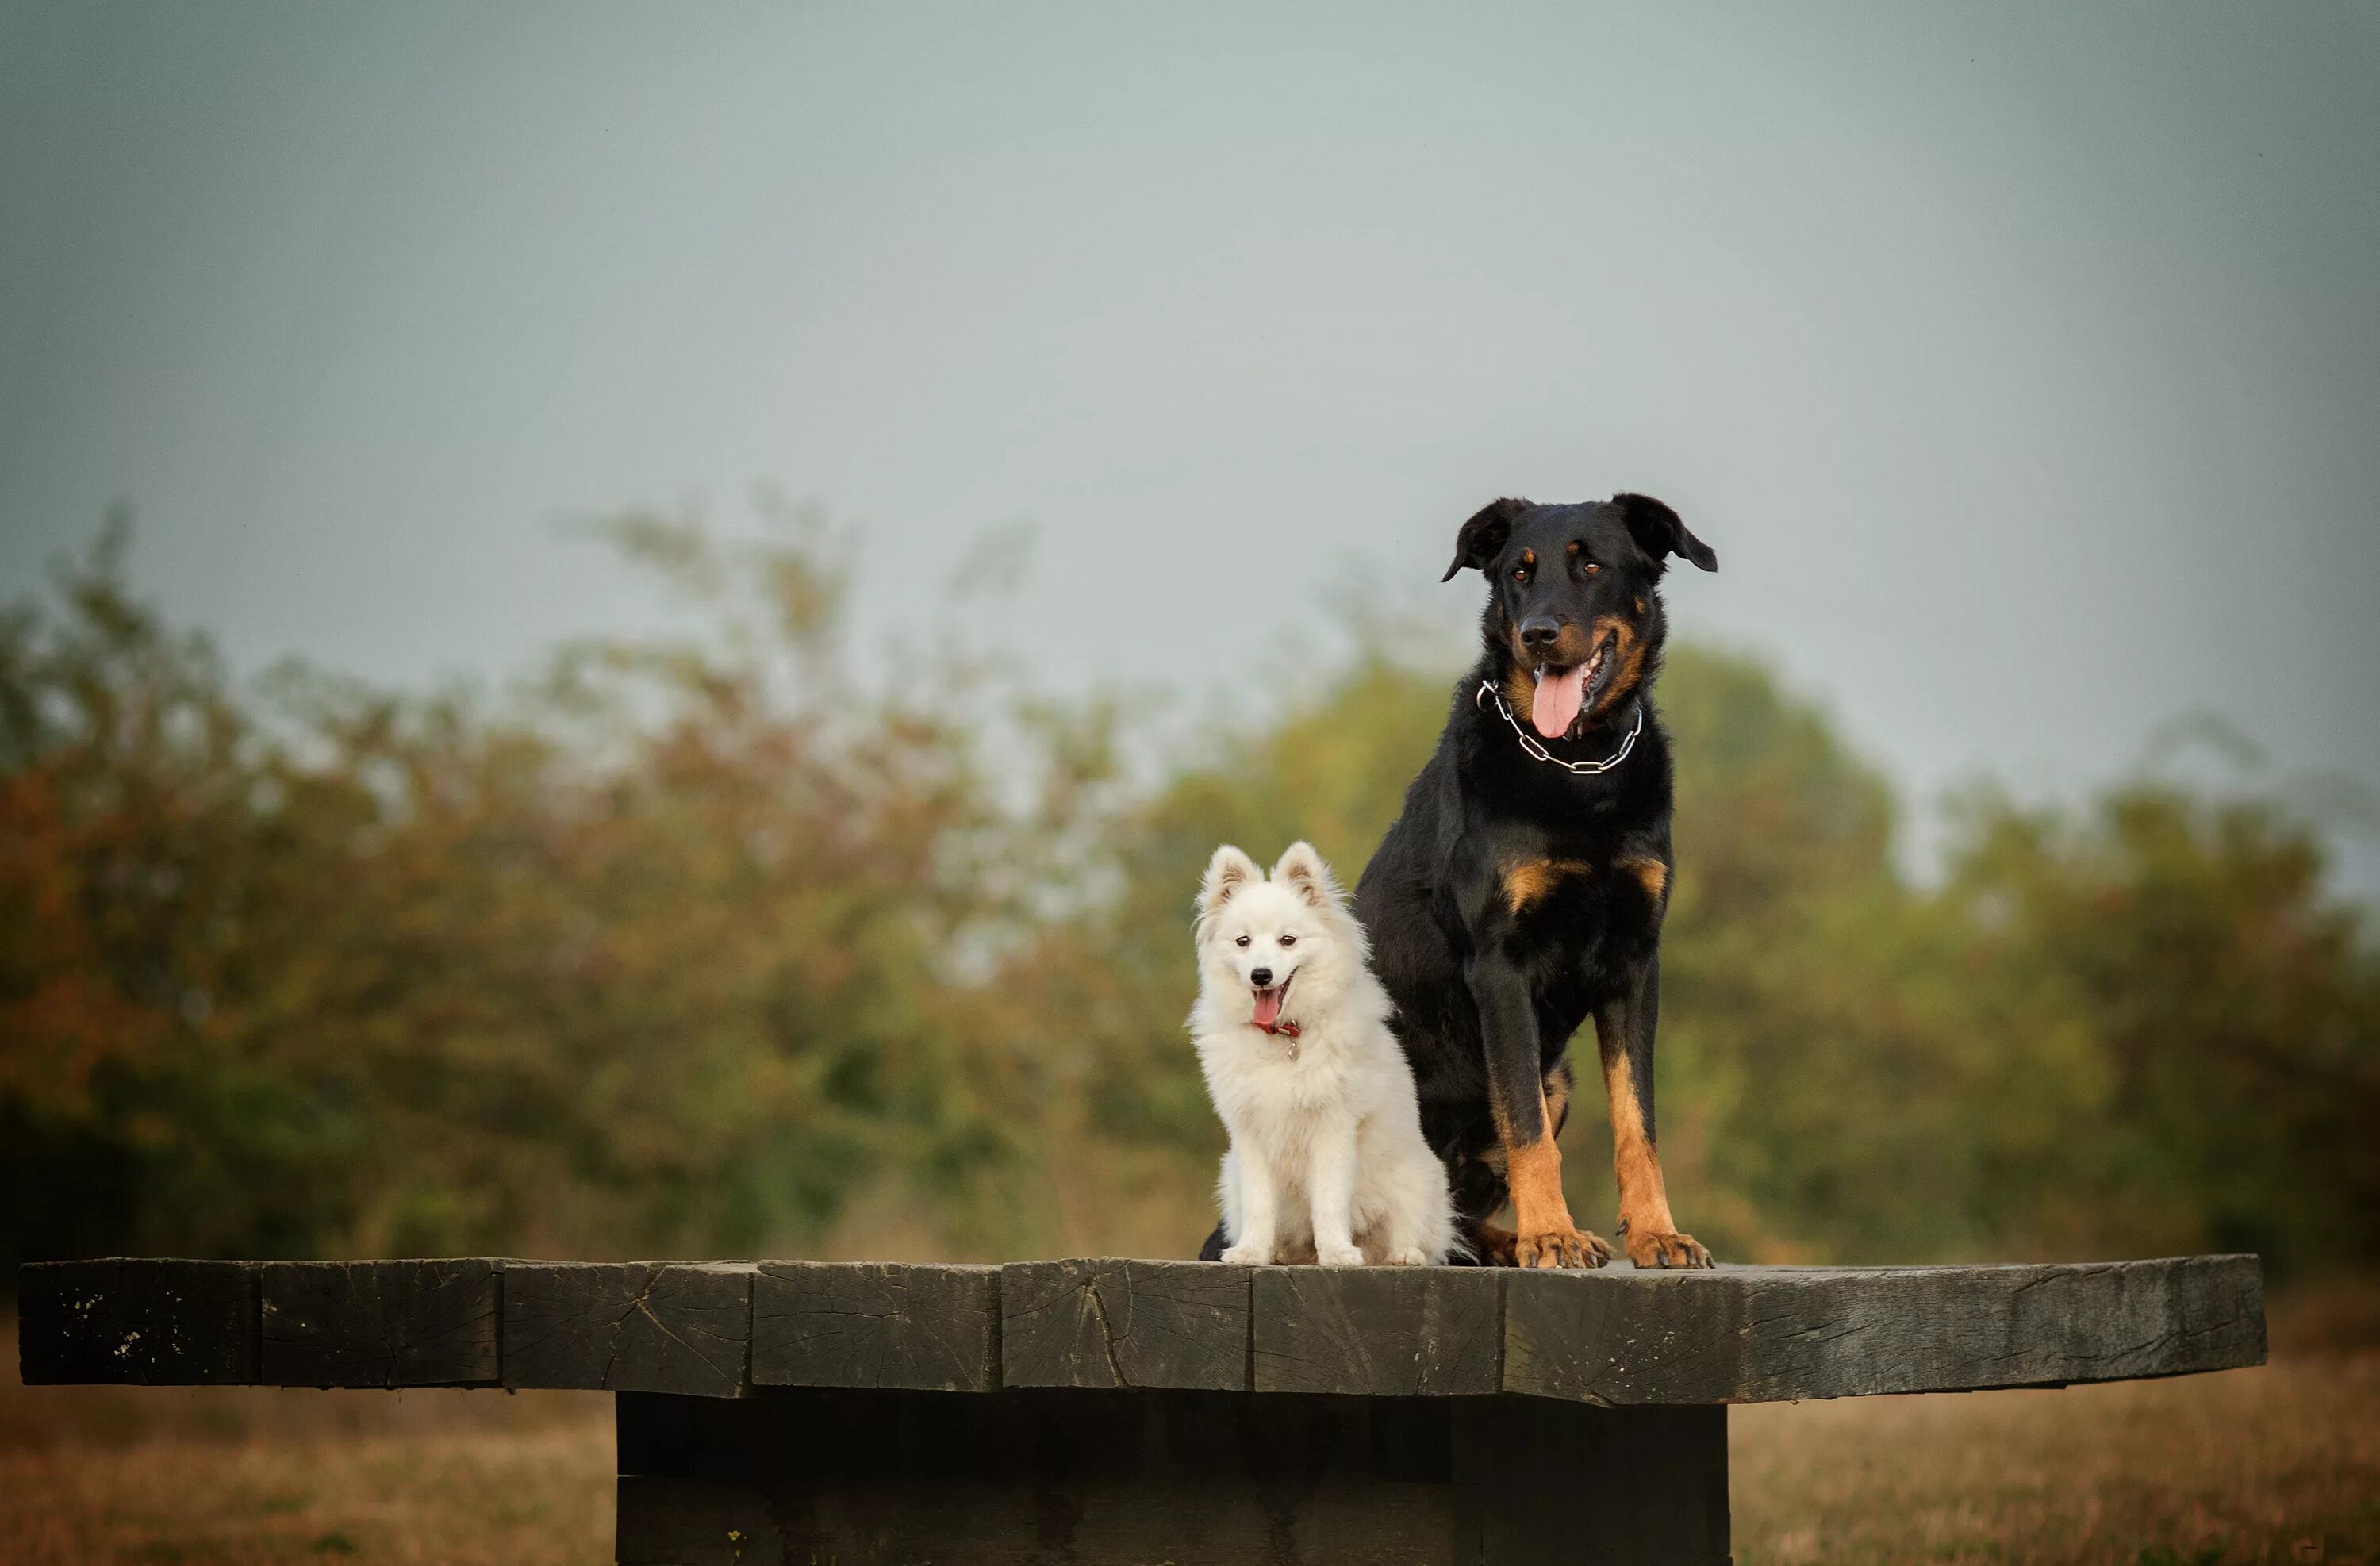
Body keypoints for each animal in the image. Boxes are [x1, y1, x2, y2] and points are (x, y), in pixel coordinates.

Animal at [1185, 838, 1447, 1266]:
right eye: (1243, 942)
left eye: (1287, 940)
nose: (1260, 975)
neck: (1285, 1035)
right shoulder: (1250, 1134)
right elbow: (1260, 1202)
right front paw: (1252, 1250)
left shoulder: (1332, 1128)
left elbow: (1328, 1199)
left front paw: (1338, 1252)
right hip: (1230, 1176)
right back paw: (1277, 1253)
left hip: (1416, 1178)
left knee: (1409, 1230)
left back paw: (1402, 1254)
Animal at [1352, 495, 1723, 1266]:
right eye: (1517, 573)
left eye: (1592, 565)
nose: (1538, 636)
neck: (1580, 769)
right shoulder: (1501, 964)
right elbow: (1525, 1127)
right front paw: (1549, 1233)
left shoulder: (1635, 963)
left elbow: (1637, 1122)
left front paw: (1656, 1233)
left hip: (1562, 1079)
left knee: (1460, 1216)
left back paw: (1494, 1245)